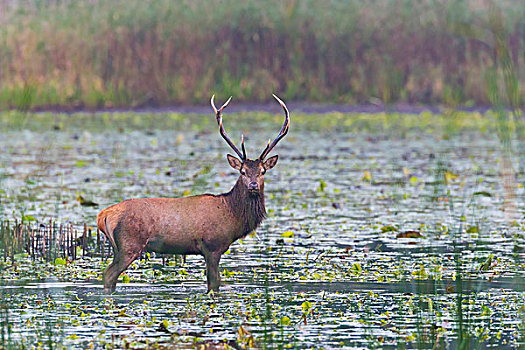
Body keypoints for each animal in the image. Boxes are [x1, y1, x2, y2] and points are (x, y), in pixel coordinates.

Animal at [96, 94, 288, 294]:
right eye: (243, 171)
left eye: (262, 171)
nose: (253, 185)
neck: (232, 216)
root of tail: (104, 215)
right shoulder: (212, 246)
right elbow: (214, 284)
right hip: (129, 244)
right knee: (108, 274)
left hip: (119, 247)